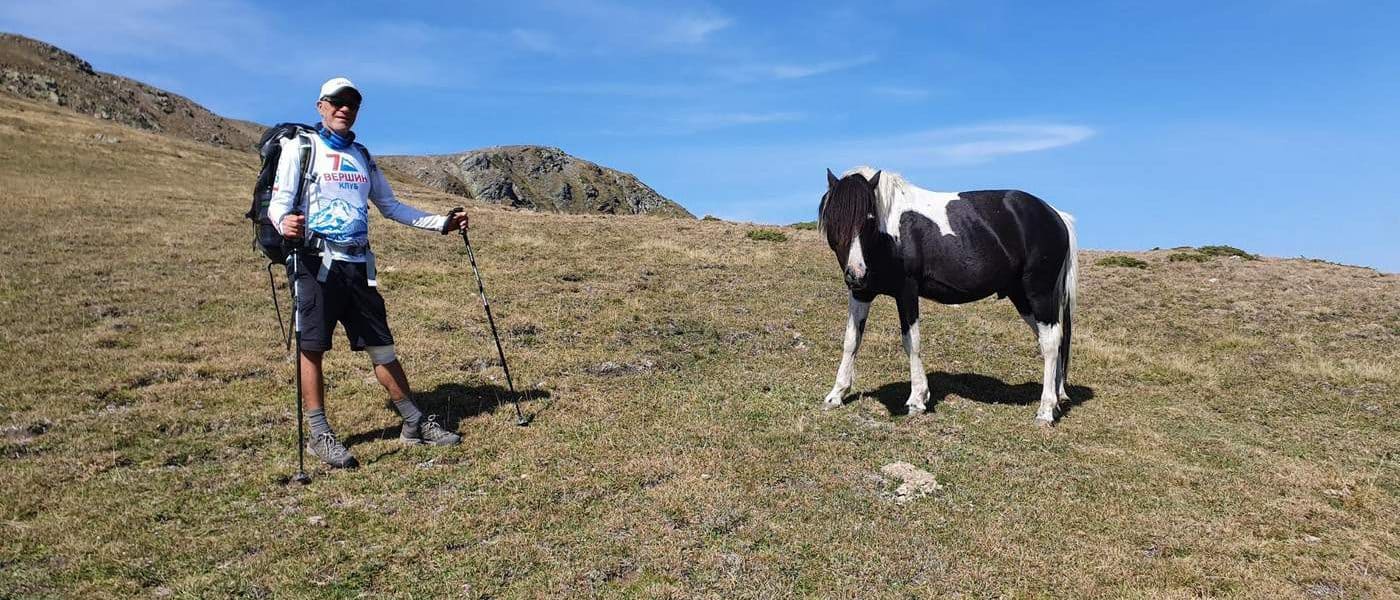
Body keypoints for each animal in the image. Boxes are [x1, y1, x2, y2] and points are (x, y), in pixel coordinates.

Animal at [817, 167, 1079, 425]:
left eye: (870, 219)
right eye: (835, 218)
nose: (856, 273)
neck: (890, 233)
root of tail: (1056, 215)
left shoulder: (907, 291)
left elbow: (911, 341)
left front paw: (917, 399)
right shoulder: (861, 293)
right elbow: (851, 340)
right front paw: (836, 394)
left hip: (1039, 293)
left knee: (1051, 342)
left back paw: (1046, 410)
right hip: (1022, 298)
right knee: (1052, 339)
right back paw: (1057, 399)